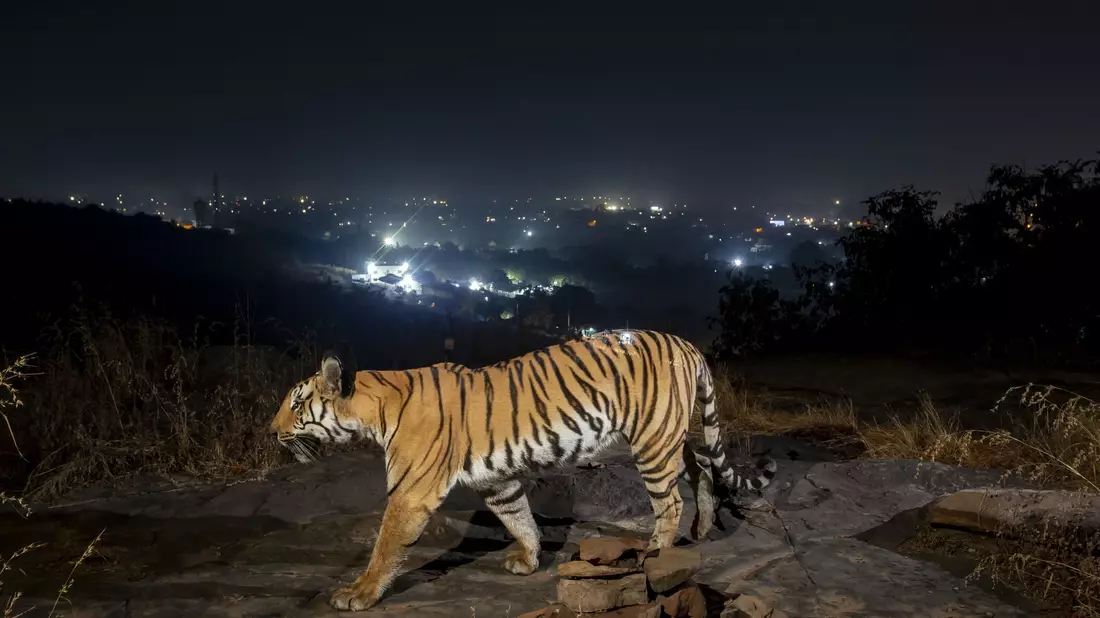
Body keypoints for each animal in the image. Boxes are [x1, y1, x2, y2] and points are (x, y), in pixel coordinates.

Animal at [269, 329, 776, 611]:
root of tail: (686, 343)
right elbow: (520, 519)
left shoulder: (411, 491)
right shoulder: (497, 482)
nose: (271, 432)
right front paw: (529, 561)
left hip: (652, 440)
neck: (373, 409)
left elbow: (384, 548)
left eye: (296, 404)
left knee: (668, 500)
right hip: (669, 433)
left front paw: (357, 593)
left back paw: (656, 552)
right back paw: (704, 524)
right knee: (701, 464)